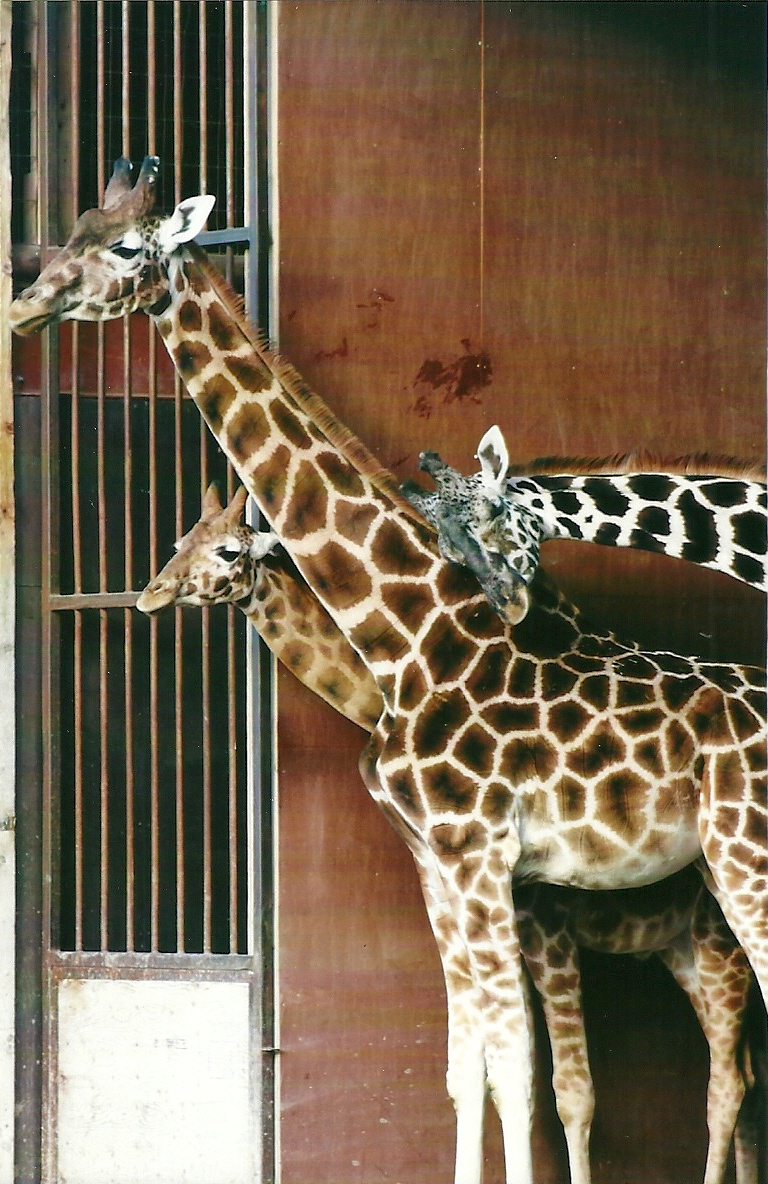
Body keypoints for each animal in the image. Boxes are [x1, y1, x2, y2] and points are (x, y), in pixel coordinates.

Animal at [138, 482, 764, 1184]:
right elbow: (485, 1067)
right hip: (689, 946)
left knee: (729, 1079)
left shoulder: (538, 920)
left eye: (226, 549)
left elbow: (560, 1086)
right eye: (176, 541)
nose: (150, 595)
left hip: (721, 932)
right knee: (744, 1075)